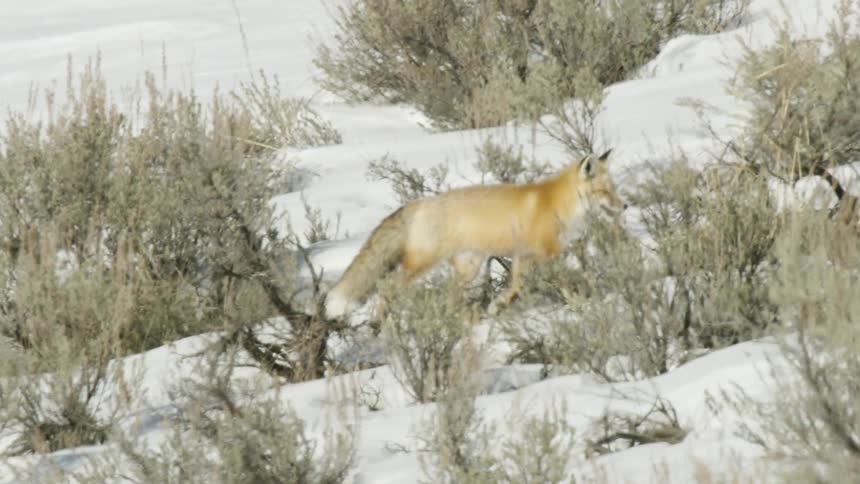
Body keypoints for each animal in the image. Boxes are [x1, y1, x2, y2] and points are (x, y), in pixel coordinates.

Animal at [323, 149, 625, 319]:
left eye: (614, 189)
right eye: (605, 191)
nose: (626, 206)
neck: (559, 205)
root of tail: (418, 203)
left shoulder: (523, 257)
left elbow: (515, 287)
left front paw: (496, 307)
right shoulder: (541, 255)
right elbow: (558, 284)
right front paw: (579, 304)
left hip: (469, 268)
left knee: (448, 293)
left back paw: (451, 318)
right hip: (422, 263)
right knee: (387, 288)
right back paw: (380, 323)